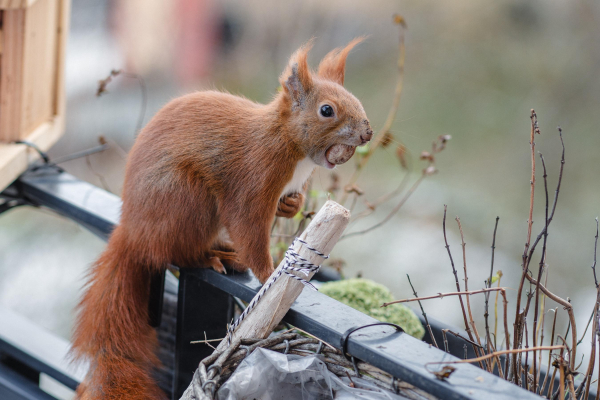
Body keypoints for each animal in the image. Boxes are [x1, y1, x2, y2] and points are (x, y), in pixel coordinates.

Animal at [70, 38, 370, 400]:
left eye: (355, 99)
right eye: (327, 110)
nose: (368, 133)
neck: (288, 142)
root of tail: (133, 232)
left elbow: (288, 204)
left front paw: (292, 205)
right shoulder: (254, 178)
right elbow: (248, 228)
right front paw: (270, 273)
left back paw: (224, 252)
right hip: (189, 200)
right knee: (179, 253)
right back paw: (212, 256)